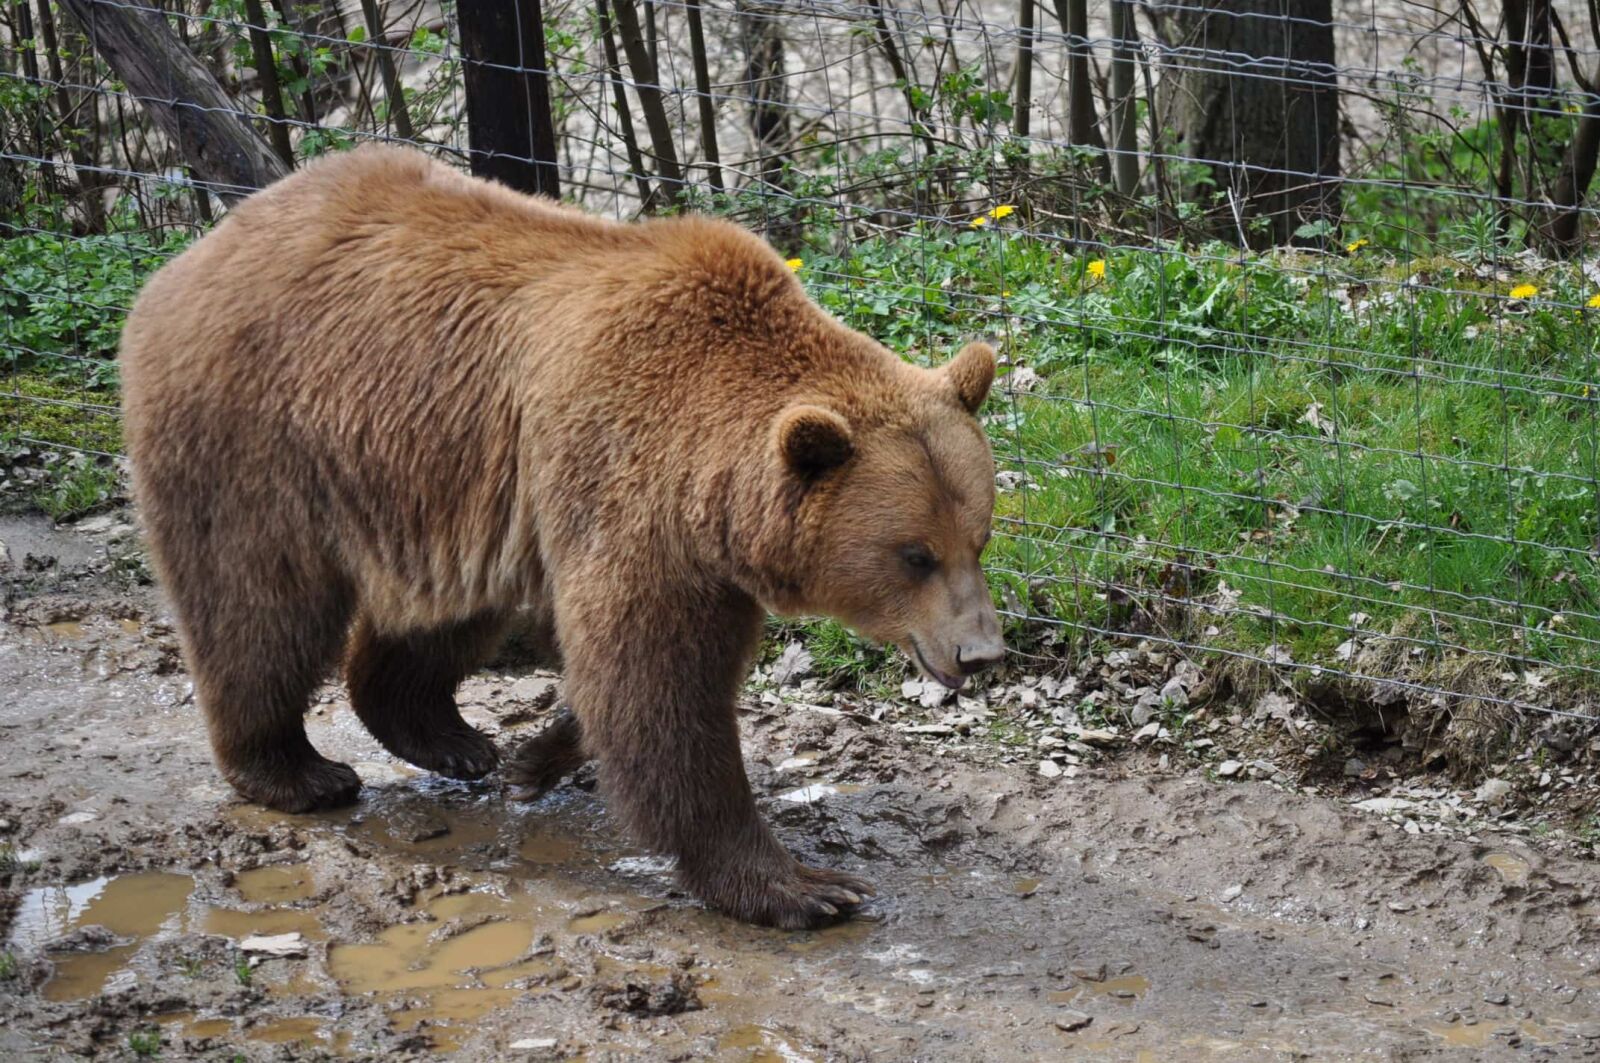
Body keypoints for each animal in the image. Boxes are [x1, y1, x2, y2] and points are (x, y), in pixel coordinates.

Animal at [119, 144, 1004, 928]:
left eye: (981, 538)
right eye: (914, 554)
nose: (981, 653)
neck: (710, 481)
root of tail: (192, 254)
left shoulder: (689, 551)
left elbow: (637, 678)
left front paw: (534, 757)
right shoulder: (629, 489)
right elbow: (656, 687)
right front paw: (801, 885)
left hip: (438, 483)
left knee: (439, 614)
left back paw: (450, 740)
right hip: (256, 433)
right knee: (258, 604)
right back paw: (296, 770)